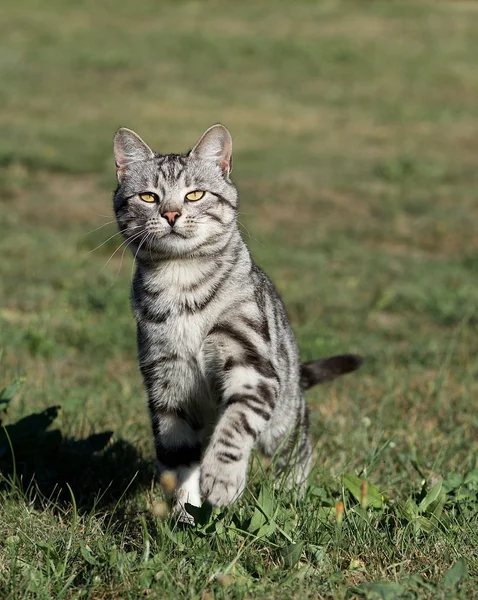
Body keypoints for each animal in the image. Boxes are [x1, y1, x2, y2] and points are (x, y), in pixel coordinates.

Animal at [112, 123, 360, 520]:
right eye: (149, 197)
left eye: (195, 194)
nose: (171, 214)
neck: (180, 281)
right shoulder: (166, 382)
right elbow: (179, 461)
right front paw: (185, 514)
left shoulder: (252, 366)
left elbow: (234, 428)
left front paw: (223, 480)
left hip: (285, 416)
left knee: (298, 448)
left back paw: (291, 495)